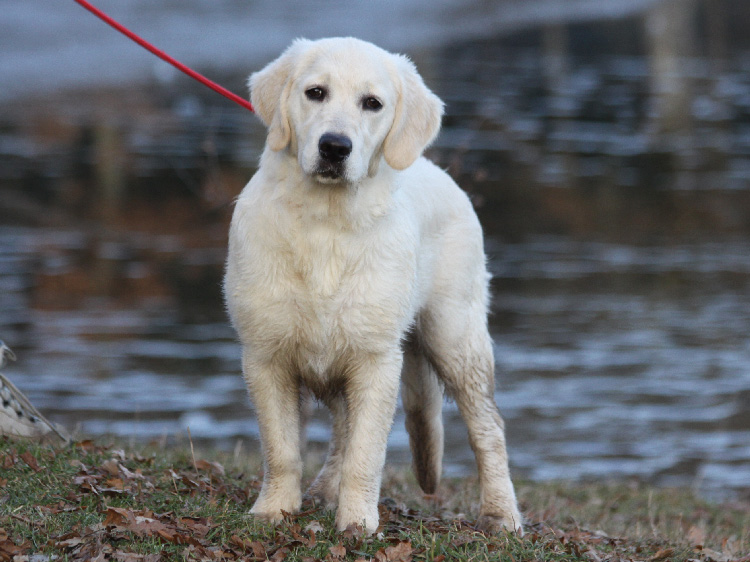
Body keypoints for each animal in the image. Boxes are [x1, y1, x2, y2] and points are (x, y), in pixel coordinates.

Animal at [225, 36, 524, 532]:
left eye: (372, 103)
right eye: (315, 93)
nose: (334, 147)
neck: (326, 223)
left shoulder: (376, 358)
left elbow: (366, 454)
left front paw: (358, 523)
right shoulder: (266, 354)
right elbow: (282, 448)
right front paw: (274, 510)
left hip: (455, 337)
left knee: (489, 429)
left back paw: (502, 514)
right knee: (341, 434)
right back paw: (323, 490)